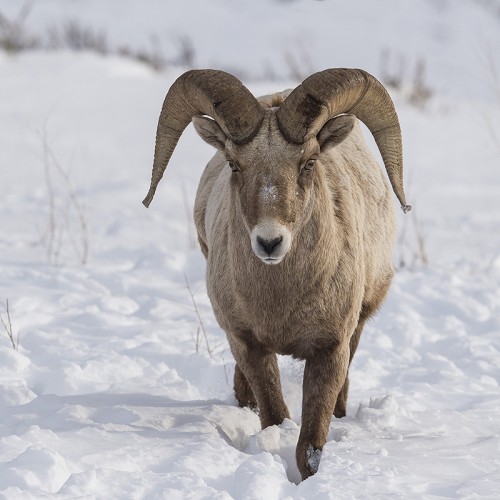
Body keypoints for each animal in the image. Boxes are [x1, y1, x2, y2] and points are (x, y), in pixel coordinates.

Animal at [144, 68, 410, 478]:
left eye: (309, 162)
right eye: (234, 163)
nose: (270, 242)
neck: (281, 303)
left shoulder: (331, 351)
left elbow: (310, 447)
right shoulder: (248, 344)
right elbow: (274, 416)